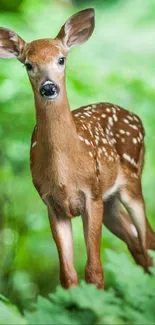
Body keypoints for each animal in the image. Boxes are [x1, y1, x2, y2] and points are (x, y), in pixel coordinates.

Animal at [0, 7, 154, 288]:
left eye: (61, 59)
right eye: (28, 64)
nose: (49, 87)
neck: (64, 172)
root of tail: (135, 116)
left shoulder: (91, 195)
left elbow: (94, 270)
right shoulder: (52, 204)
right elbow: (68, 276)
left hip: (131, 182)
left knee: (148, 239)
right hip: (110, 202)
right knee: (137, 244)